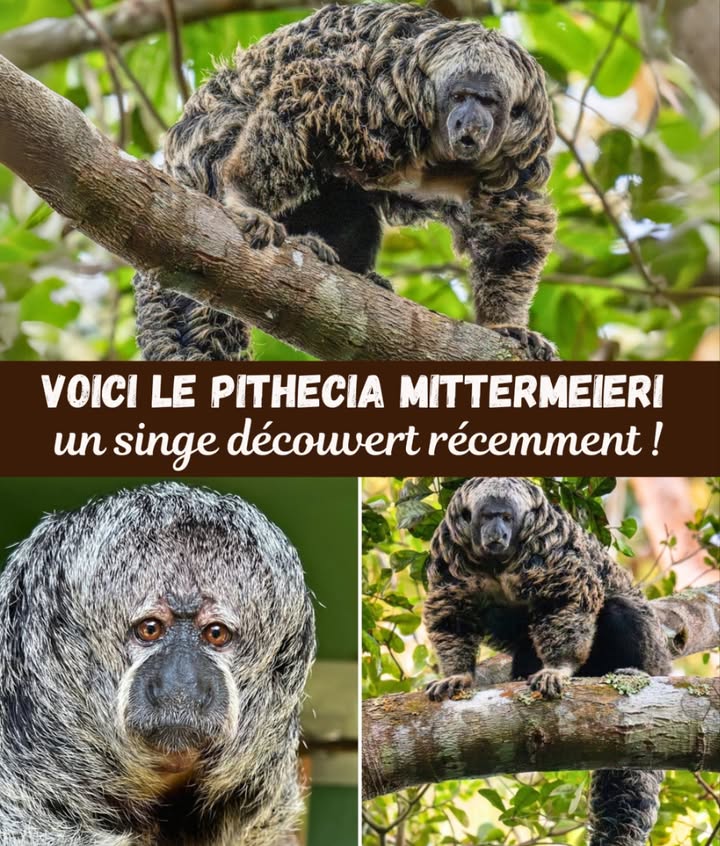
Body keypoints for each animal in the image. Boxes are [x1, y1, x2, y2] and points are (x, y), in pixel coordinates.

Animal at [134, 2, 556, 361]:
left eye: (487, 101)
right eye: (460, 96)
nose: (468, 119)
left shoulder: (519, 150)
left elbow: (510, 231)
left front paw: (504, 324)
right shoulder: (381, 97)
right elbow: (302, 97)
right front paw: (243, 200)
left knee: (353, 205)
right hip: (204, 157)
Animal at [422, 477, 672, 846]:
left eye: (507, 518)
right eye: (488, 517)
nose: (497, 532)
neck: (497, 562)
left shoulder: (547, 545)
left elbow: (567, 598)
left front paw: (559, 667)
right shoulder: (449, 549)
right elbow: (451, 613)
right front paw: (459, 675)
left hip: (654, 652)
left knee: (618, 609)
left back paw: (632, 670)